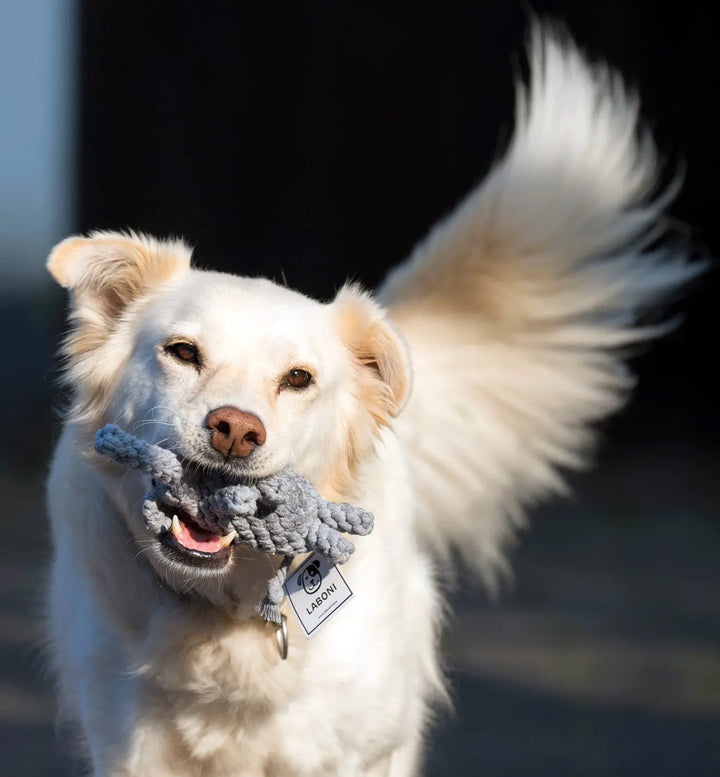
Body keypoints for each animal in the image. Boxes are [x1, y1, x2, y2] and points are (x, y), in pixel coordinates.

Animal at [45, 24, 696, 776]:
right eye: (182, 351)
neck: (226, 614)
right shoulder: (130, 749)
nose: (235, 429)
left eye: (297, 378)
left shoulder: (352, 751)